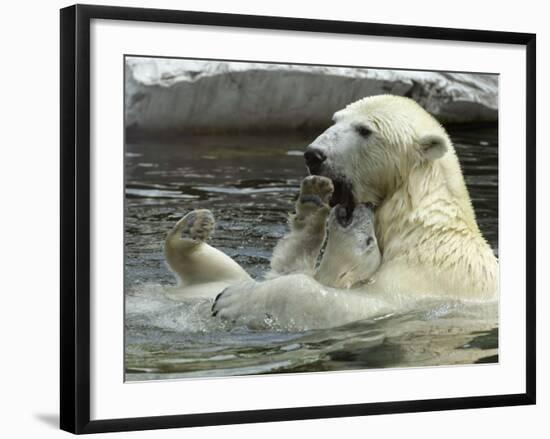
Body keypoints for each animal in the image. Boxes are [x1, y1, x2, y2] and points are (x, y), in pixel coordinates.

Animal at [174, 96, 500, 330]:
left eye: (365, 130)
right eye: (335, 120)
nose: (313, 154)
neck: (417, 222)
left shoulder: (425, 282)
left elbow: (348, 304)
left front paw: (234, 299)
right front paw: (312, 200)